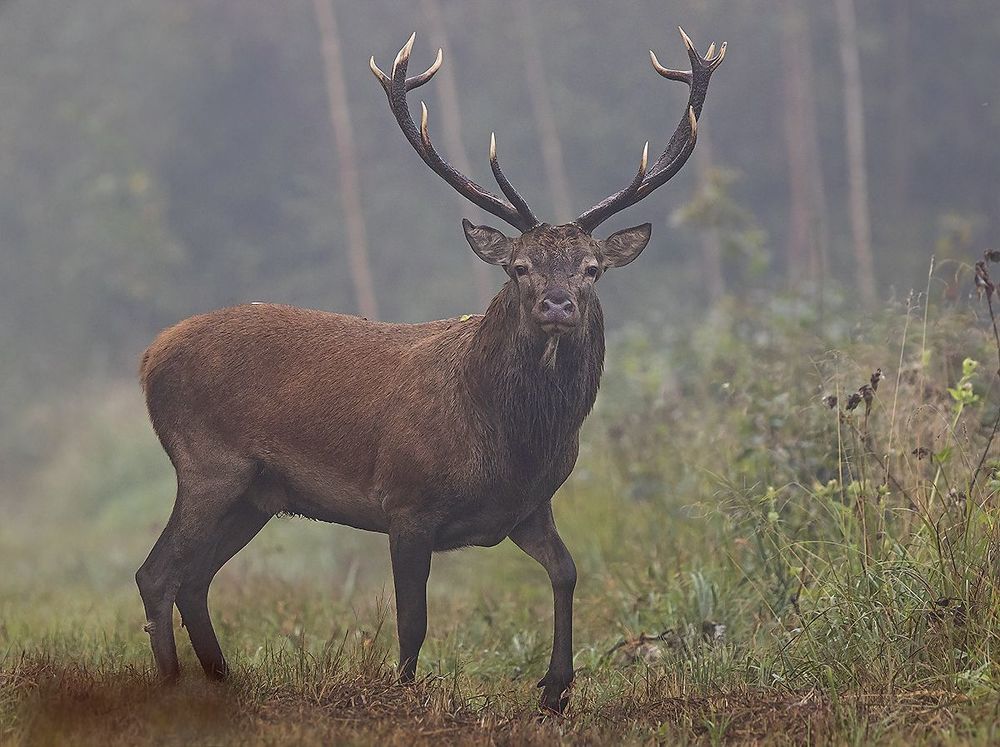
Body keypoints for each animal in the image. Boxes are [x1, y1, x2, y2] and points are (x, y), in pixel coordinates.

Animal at [135, 27, 725, 714]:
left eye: (592, 268)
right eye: (519, 267)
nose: (557, 304)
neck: (508, 440)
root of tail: (150, 356)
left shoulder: (529, 506)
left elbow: (568, 572)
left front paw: (555, 689)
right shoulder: (406, 501)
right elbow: (412, 619)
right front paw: (401, 692)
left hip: (256, 493)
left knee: (194, 579)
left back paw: (220, 679)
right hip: (208, 464)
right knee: (157, 574)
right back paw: (170, 684)